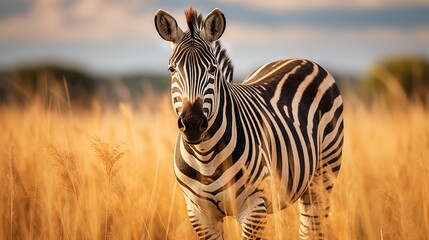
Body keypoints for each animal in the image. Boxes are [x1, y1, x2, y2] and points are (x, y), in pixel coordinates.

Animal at [153, 6, 342, 239]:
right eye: (172, 70)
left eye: (213, 69)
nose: (193, 123)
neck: (205, 157)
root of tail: (299, 59)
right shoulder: (199, 214)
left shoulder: (253, 209)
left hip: (323, 175)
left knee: (312, 229)